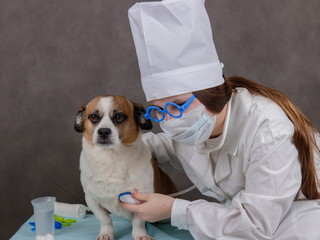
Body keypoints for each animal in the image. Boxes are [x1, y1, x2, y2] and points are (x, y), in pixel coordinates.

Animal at [74, 95, 176, 240]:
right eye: (93, 116)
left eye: (119, 116)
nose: (103, 131)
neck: (112, 158)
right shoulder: (91, 199)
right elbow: (104, 218)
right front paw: (106, 233)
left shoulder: (142, 201)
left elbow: (138, 221)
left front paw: (140, 234)